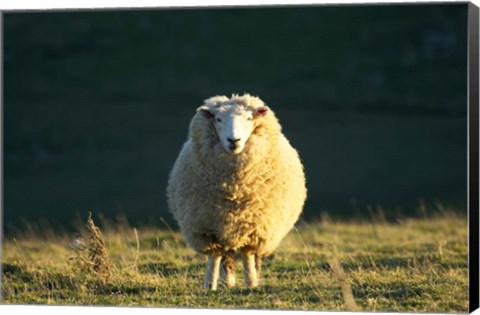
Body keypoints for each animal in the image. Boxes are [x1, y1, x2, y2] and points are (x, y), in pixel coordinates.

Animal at [167, 92, 306, 290]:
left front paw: (251, 283)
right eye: (218, 119)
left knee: (253, 258)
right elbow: (214, 257)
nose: (234, 140)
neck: (234, 191)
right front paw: (209, 284)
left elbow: (247, 256)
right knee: (227, 258)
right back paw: (227, 282)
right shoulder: (208, 228)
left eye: (249, 118)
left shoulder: (254, 227)